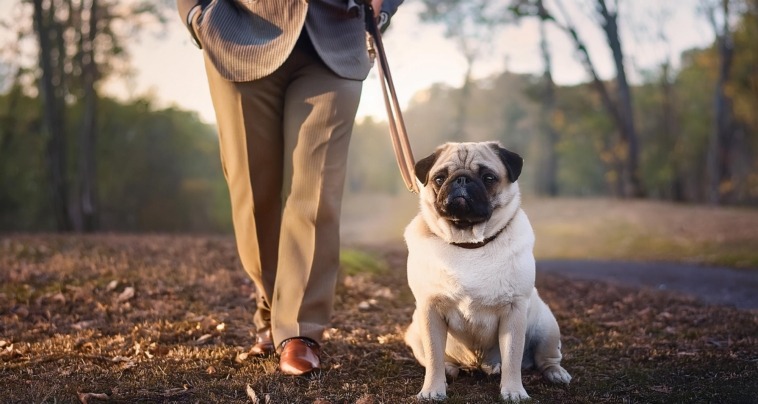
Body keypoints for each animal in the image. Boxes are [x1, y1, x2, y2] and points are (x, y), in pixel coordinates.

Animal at [404, 142, 568, 400]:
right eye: (440, 178)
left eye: (488, 177)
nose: (461, 179)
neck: (468, 243)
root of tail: (479, 364)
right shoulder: (429, 309)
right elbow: (433, 356)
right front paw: (432, 390)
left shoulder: (513, 311)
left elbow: (512, 357)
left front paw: (514, 391)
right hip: (414, 330)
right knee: (439, 359)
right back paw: (451, 369)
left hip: (547, 327)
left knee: (547, 359)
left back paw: (556, 374)